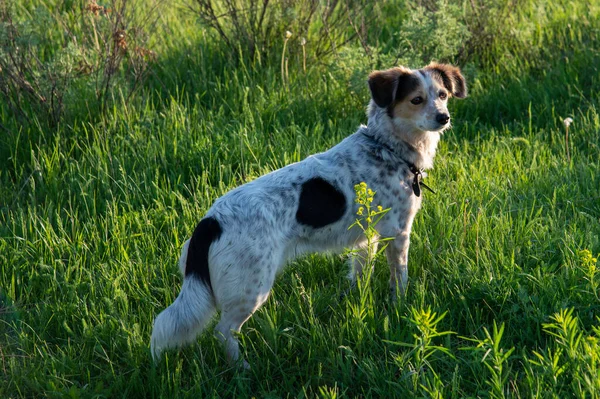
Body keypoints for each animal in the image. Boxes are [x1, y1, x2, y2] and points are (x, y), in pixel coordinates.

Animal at [151, 63, 468, 368]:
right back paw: (242, 369)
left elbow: (359, 275)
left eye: (442, 95)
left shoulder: (366, 239)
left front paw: (356, 301)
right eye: (416, 100)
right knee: (223, 331)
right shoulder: (399, 232)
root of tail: (210, 222)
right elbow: (399, 278)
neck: (385, 147)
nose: (444, 118)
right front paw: (400, 306)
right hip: (251, 288)